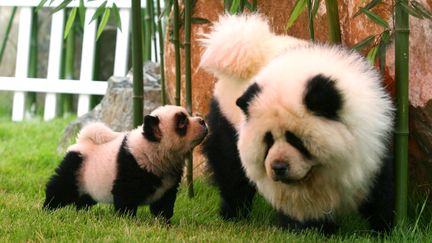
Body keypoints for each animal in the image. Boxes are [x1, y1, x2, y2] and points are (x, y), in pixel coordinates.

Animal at [43, 105, 208, 222]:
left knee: (84, 198)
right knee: (60, 188)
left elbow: (164, 203)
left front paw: (163, 222)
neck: (152, 149)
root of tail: (83, 141)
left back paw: (82, 212)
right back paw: (48, 210)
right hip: (75, 167)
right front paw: (127, 220)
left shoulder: (169, 181)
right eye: (182, 122)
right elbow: (125, 197)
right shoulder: (131, 166)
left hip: (88, 179)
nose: (202, 121)